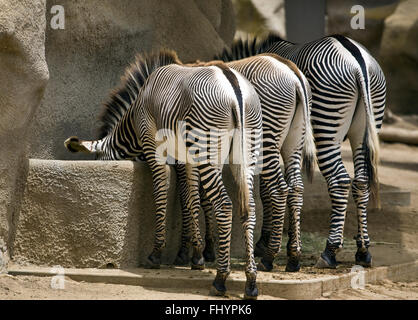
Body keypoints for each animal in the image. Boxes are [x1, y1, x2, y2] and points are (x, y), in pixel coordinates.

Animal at [62, 49, 262, 298]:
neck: (135, 113)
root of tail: (231, 82)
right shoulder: (188, 157)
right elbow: (191, 198)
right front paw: (196, 255)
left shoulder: (152, 142)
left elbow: (161, 190)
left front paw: (157, 252)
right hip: (245, 148)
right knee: (249, 208)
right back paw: (251, 282)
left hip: (208, 147)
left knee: (224, 205)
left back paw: (220, 279)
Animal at [175, 53, 316, 274]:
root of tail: (291, 72)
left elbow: (189, 196)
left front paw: (190, 252)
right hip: (295, 137)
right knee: (296, 187)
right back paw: (294, 257)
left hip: (267, 136)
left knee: (279, 189)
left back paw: (269, 257)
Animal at [217, 33, 386, 268]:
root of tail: (357, 60)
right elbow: (289, 186)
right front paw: (288, 244)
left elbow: (267, 191)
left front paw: (265, 242)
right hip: (367, 125)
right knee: (361, 180)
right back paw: (363, 250)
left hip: (326, 119)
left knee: (339, 180)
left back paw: (329, 251)